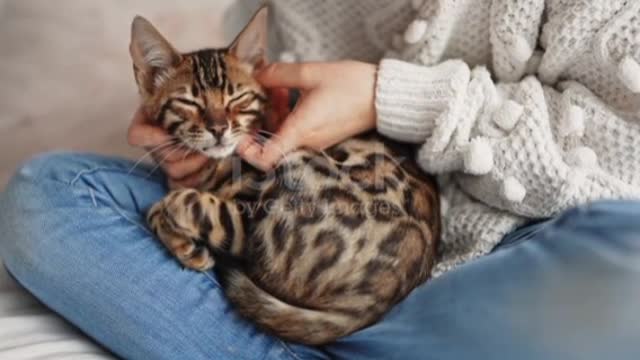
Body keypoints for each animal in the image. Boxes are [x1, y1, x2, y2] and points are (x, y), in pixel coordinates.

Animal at [130, 7, 440, 344]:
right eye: (189, 103)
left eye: (237, 99)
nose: (219, 129)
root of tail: (382, 295)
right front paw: (184, 245)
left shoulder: (245, 213)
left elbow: (172, 204)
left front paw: (183, 240)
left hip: (291, 176)